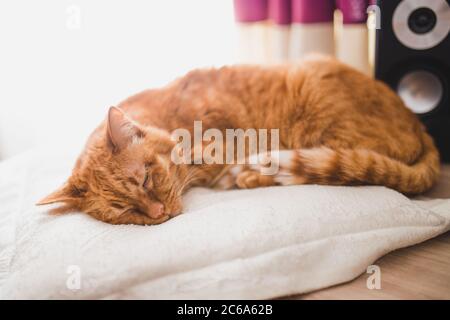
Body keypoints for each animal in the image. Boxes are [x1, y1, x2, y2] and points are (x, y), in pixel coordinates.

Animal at [37, 55, 440, 225]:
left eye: (147, 180)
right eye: (124, 211)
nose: (157, 213)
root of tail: (418, 123)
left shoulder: (230, 133)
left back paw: (249, 174)